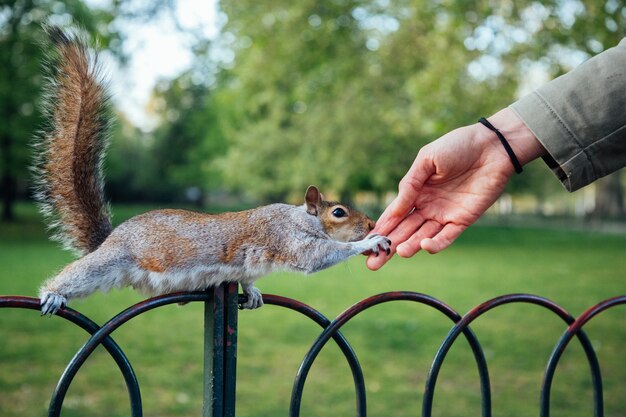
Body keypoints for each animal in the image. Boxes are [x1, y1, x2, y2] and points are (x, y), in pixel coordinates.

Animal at [34, 26, 388, 316]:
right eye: (339, 212)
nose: (370, 223)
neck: (301, 218)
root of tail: (107, 239)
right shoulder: (285, 238)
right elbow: (318, 256)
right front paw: (367, 243)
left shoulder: (250, 265)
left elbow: (248, 278)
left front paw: (253, 292)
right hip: (109, 261)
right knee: (76, 275)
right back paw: (52, 294)